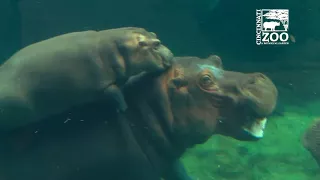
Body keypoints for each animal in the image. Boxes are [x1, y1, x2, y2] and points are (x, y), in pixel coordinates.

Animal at [0, 26, 174, 131]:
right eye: (156, 44)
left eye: (155, 35)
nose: (171, 55)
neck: (117, 49)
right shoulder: (104, 85)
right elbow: (116, 93)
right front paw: (123, 109)